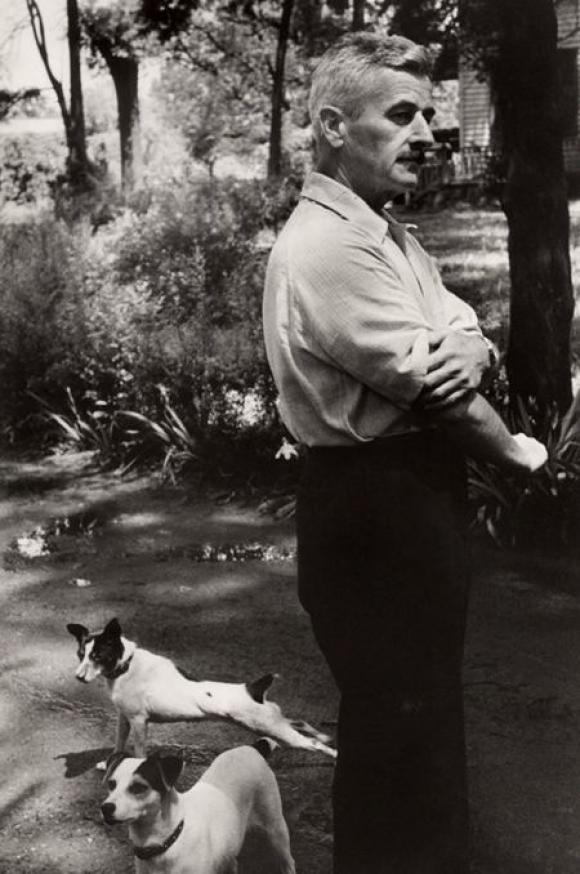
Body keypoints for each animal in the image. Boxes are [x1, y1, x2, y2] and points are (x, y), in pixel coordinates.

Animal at [67, 620, 336, 756]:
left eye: (98, 655)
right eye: (80, 654)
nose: (78, 677)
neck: (127, 666)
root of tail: (254, 688)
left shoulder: (139, 721)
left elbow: (139, 751)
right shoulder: (124, 718)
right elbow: (118, 744)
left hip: (274, 729)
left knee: (313, 744)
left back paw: (331, 754)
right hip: (272, 724)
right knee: (300, 723)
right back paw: (324, 735)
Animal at [100, 740, 296, 872]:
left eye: (138, 787)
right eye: (111, 784)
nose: (106, 808)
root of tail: (250, 748)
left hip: (276, 829)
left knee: (288, 861)